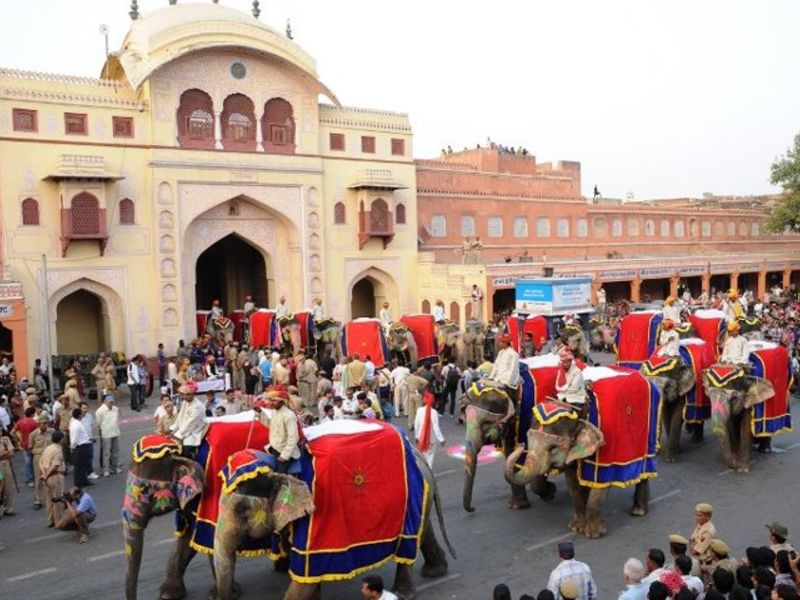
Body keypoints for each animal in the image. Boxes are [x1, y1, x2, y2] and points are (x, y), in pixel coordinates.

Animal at [212, 422, 456, 600]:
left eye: (242, 509)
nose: (234, 592)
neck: (278, 466)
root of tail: (416, 452)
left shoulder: (318, 517)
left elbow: (305, 571)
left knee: (409, 545)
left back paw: (405, 594)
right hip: (418, 497)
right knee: (424, 528)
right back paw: (436, 571)